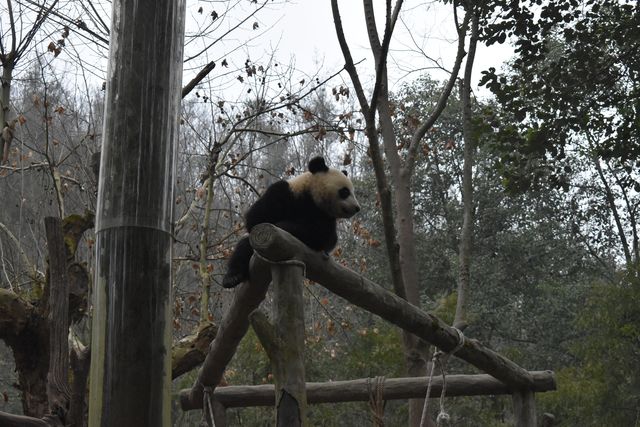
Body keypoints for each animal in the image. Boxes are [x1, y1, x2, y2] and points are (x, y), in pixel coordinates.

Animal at [221, 155, 360, 290]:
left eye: (353, 191)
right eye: (345, 191)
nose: (357, 208)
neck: (312, 195)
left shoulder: (326, 217)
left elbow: (323, 236)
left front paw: (285, 226)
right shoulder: (284, 192)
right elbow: (256, 218)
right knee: (243, 247)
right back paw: (232, 277)